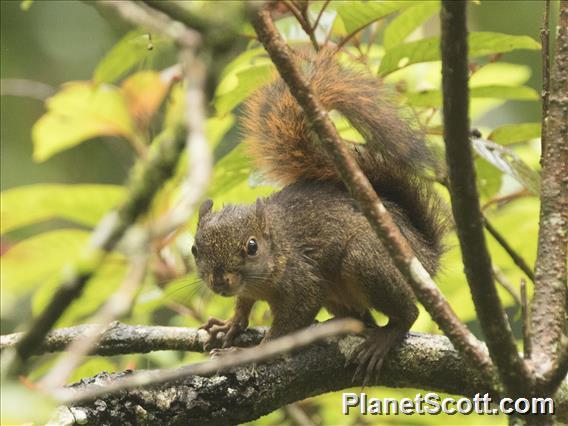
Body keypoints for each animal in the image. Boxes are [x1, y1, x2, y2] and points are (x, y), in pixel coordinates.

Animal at [193, 50, 446, 382]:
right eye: (194, 249)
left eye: (252, 247)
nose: (220, 281)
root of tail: (424, 253)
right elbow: (243, 304)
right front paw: (230, 324)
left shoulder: (302, 282)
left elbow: (288, 323)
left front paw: (246, 353)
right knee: (362, 318)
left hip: (366, 258)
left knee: (407, 314)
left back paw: (384, 337)